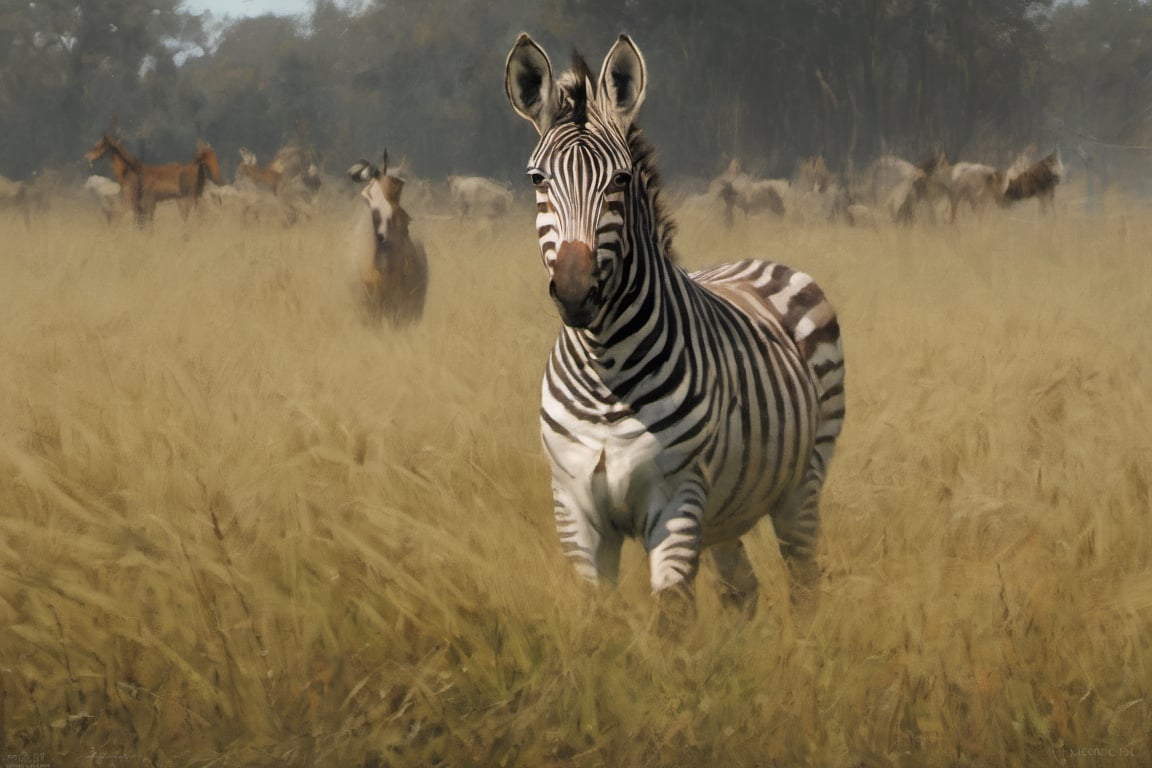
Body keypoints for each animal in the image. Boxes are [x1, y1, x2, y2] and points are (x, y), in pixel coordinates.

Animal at [85, 134, 222, 225]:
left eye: (98, 146)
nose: (87, 157)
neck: (131, 170)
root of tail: (197, 164)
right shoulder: (144, 205)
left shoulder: (142, 203)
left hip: (189, 198)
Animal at [504, 33, 847, 617]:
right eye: (537, 179)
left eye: (620, 180)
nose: (574, 293)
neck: (603, 366)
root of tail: (757, 259)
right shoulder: (575, 510)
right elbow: (597, 617)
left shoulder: (676, 499)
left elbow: (673, 615)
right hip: (725, 511)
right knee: (743, 590)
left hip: (801, 483)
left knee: (804, 582)